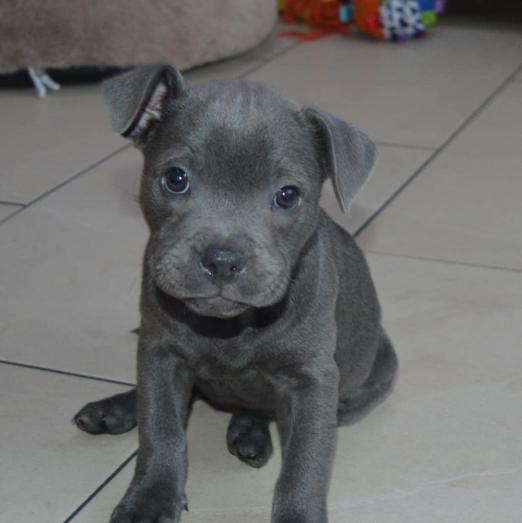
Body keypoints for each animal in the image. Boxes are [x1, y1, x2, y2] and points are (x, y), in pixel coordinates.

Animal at [73, 65, 396, 523]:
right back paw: (114, 410)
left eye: (288, 195)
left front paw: (298, 513)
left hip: (366, 382)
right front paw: (150, 498)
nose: (222, 260)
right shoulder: (159, 353)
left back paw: (248, 432)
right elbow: (161, 430)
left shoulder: (313, 381)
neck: (231, 328)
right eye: (175, 179)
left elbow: (305, 465)